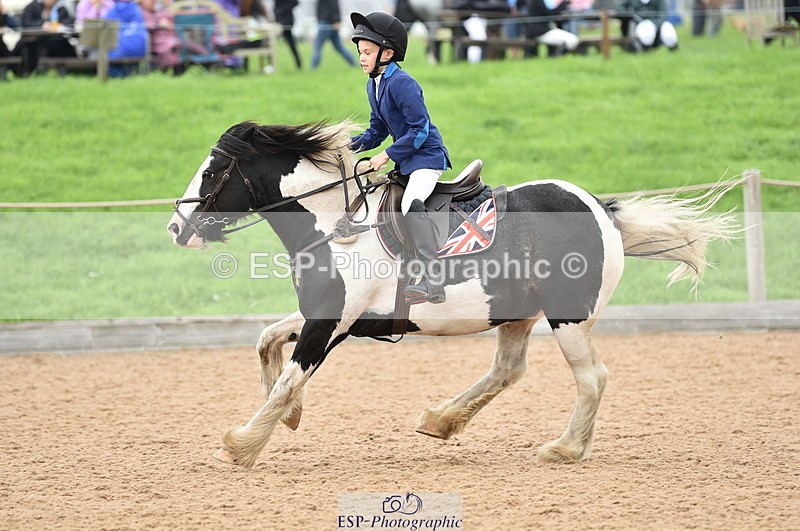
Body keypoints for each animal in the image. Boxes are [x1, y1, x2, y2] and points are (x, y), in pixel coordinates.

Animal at [168, 120, 736, 469]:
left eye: (212, 171)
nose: (177, 228)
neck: (336, 224)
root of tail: (600, 206)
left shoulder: (331, 323)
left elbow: (290, 375)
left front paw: (242, 445)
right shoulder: (327, 315)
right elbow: (268, 343)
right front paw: (285, 416)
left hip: (568, 318)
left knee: (591, 377)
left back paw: (565, 448)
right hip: (516, 314)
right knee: (508, 370)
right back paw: (441, 421)